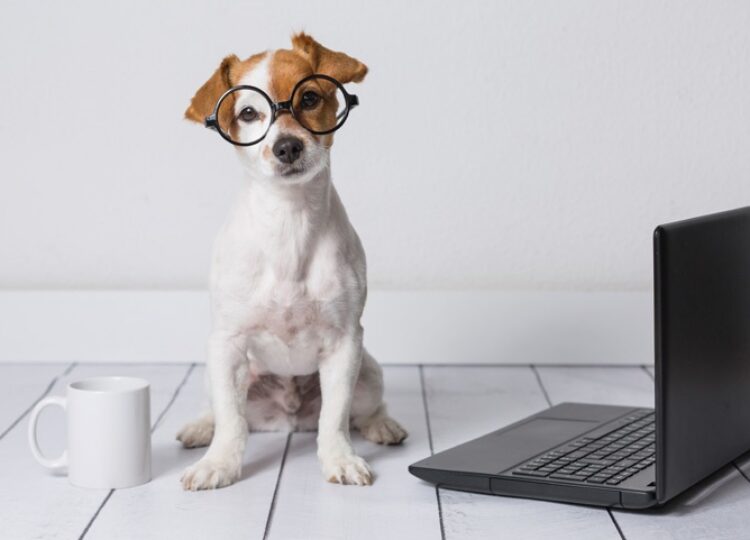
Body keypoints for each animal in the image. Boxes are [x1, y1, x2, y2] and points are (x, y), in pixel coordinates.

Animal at [176, 33, 407, 490]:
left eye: (310, 97)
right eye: (248, 112)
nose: (287, 146)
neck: (289, 222)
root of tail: (287, 418)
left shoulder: (344, 345)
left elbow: (335, 417)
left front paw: (340, 459)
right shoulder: (226, 344)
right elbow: (232, 422)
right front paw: (219, 463)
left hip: (369, 372)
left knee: (366, 408)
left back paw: (382, 424)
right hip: (218, 372)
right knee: (219, 409)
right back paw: (200, 427)